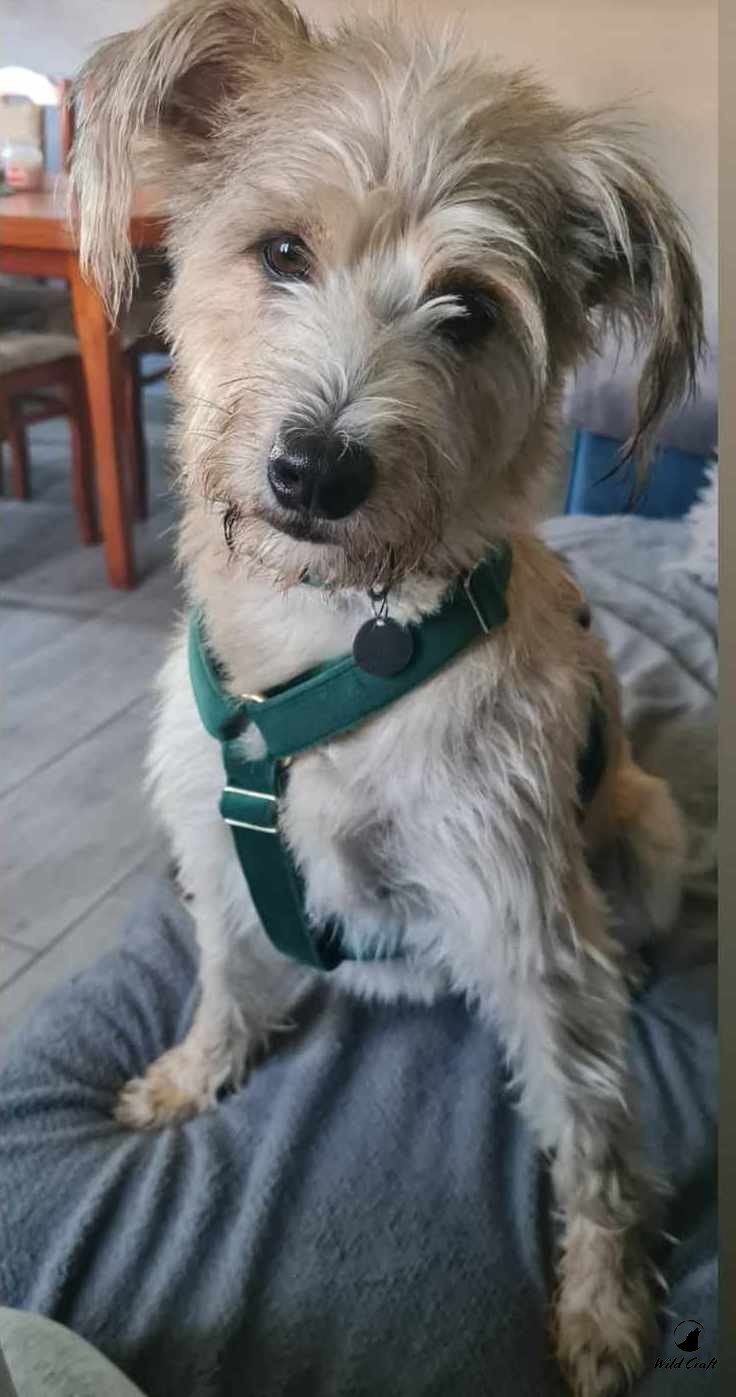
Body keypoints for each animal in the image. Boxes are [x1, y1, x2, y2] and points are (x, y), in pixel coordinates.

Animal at [71, 3, 704, 1393]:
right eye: (281, 250)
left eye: (466, 309)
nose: (316, 471)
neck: (330, 648)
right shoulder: (216, 849)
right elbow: (222, 979)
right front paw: (194, 1072)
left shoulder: (524, 912)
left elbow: (591, 1124)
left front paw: (603, 1304)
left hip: (644, 820)